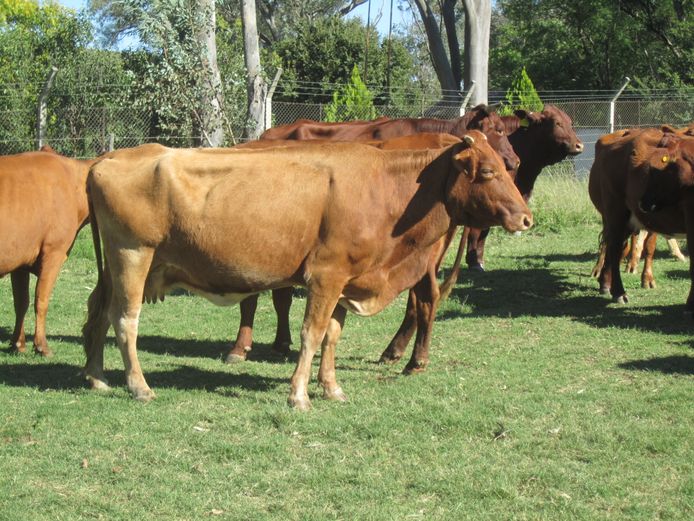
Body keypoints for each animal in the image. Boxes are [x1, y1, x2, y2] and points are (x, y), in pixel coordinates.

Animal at [0, 147, 96, 358]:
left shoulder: (20, 259)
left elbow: (21, 302)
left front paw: (18, 344)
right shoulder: (54, 252)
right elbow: (41, 300)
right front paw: (41, 346)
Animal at [84, 133, 536, 406]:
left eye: (506, 166)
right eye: (489, 171)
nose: (527, 218)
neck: (386, 190)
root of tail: (108, 157)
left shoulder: (346, 280)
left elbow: (332, 334)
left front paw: (331, 387)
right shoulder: (326, 275)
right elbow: (311, 333)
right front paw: (299, 394)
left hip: (118, 266)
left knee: (98, 314)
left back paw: (96, 376)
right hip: (133, 255)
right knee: (125, 320)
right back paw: (139, 386)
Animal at [464, 104, 584, 270]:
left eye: (570, 123)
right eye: (557, 123)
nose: (579, 146)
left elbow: (484, 230)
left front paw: (479, 259)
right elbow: (478, 229)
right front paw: (474, 262)